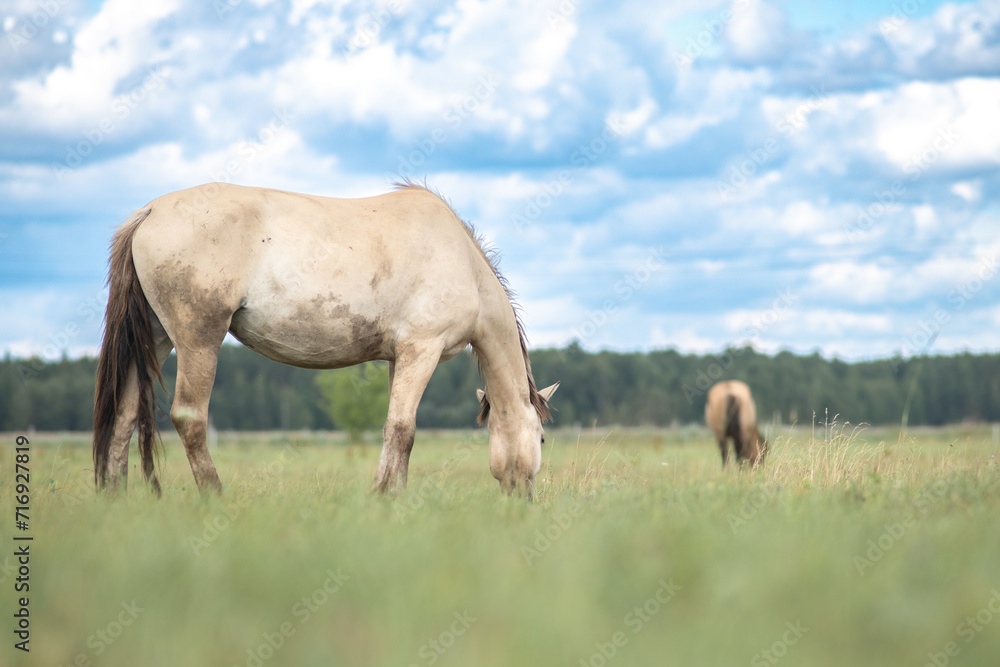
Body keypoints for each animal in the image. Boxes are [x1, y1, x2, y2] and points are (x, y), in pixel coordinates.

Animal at [92, 180, 564, 498]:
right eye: (541, 439)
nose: (525, 502)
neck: (462, 261)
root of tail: (149, 213)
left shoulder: (399, 358)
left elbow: (395, 429)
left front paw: (393, 496)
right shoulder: (421, 350)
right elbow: (403, 429)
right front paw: (384, 498)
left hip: (155, 339)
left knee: (124, 416)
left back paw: (116, 502)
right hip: (198, 341)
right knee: (189, 418)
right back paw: (215, 497)